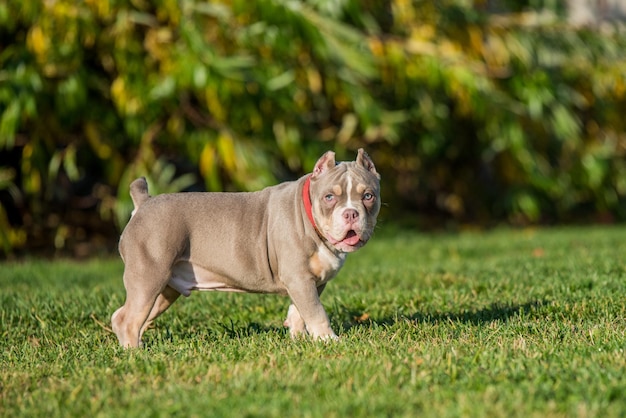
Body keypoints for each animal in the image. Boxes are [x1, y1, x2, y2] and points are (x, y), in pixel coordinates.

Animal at [112, 149, 380, 348]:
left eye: (368, 196)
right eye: (329, 197)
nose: (351, 213)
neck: (311, 219)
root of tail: (144, 203)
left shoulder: (311, 281)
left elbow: (300, 310)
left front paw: (298, 337)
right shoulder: (299, 278)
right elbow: (316, 312)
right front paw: (328, 340)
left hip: (165, 288)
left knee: (126, 316)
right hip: (149, 275)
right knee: (129, 318)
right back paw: (135, 353)